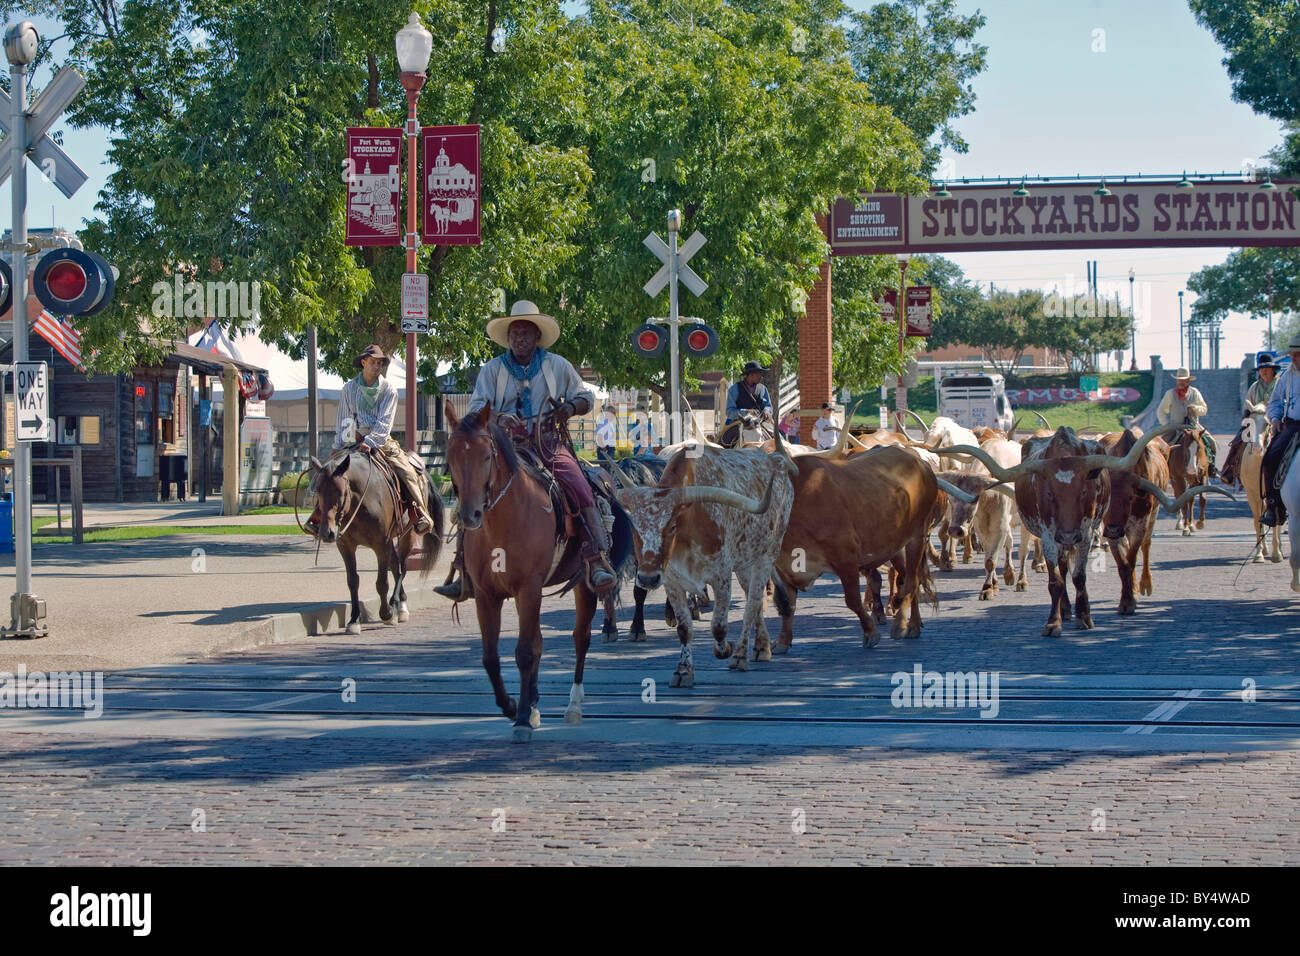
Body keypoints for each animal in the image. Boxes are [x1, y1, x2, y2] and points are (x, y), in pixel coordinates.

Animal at [304, 447, 447, 634]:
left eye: (340, 493)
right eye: (318, 492)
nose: (327, 532)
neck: (360, 503)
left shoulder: (381, 544)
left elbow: (382, 583)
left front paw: (387, 614)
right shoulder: (346, 546)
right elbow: (353, 581)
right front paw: (354, 620)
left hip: (408, 535)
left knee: (402, 568)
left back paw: (399, 607)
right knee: (395, 566)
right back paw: (398, 604)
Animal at [447, 400, 629, 743]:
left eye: (487, 456)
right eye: (450, 456)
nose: (469, 515)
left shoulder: (528, 588)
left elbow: (524, 652)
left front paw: (520, 718)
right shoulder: (486, 594)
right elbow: (492, 657)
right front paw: (513, 706)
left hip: (583, 584)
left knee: (580, 638)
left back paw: (573, 705)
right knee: (540, 642)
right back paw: (532, 704)